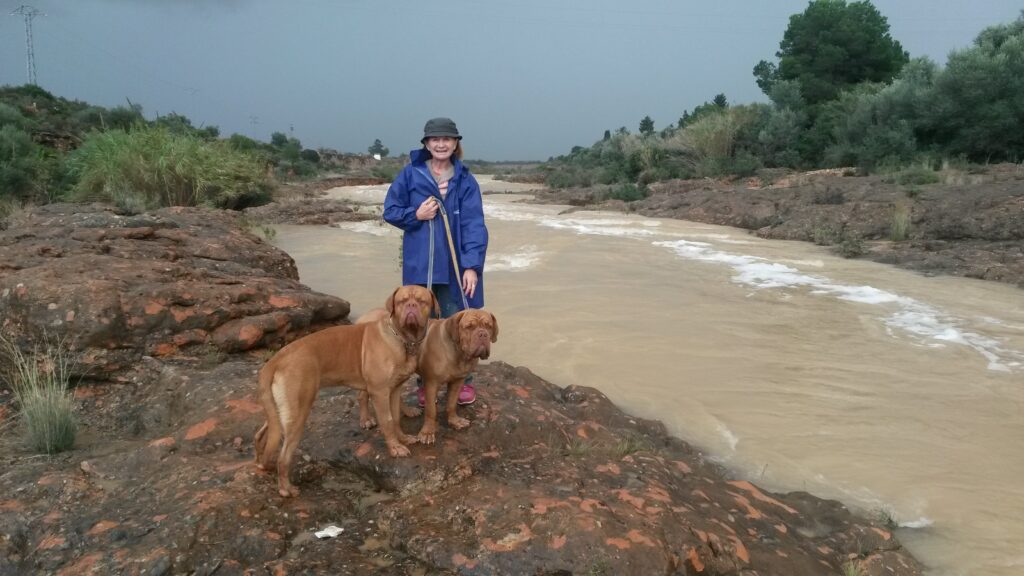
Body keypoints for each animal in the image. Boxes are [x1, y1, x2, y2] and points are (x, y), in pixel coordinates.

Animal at [254, 284, 436, 496]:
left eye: (422, 301)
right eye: (401, 301)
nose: (411, 306)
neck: (402, 337)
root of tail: (275, 360)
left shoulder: (395, 389)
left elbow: (396, 418)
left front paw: (402, 439)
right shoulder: (380, 392)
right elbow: (388, 421)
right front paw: (394, 448)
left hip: (278, 410)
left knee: (263, 434)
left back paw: (262, 463)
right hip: (297, 413)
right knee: (284, 457)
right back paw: (286, 489)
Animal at [354, 307, 497, 440]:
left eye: (489, 326)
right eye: (469, 327)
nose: (483, 334)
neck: (458, 353)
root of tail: (365, 316)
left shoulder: (458, 381)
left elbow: (451, 404)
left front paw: (454, 421)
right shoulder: (431, 383)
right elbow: (431, 410)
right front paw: (427, 432)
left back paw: (409, 411)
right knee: (362, 396)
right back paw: (366, 419)